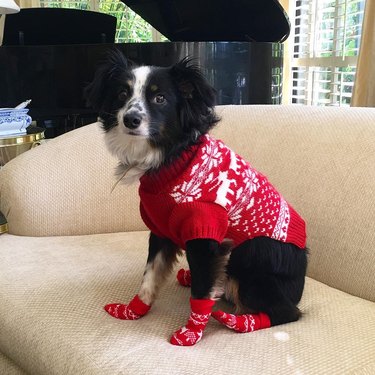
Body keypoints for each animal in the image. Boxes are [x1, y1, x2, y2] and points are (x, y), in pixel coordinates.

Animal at [86, 50, 308, 346]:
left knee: (287, 312)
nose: (130, 119)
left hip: (253, 253)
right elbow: (149, 275)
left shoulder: (205, 234)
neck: (171, 158)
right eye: (122, 93)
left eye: (160, 98)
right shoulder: (161, 229)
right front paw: (132, 311)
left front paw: (190, 333)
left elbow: (201, 292)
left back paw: (237, 321)